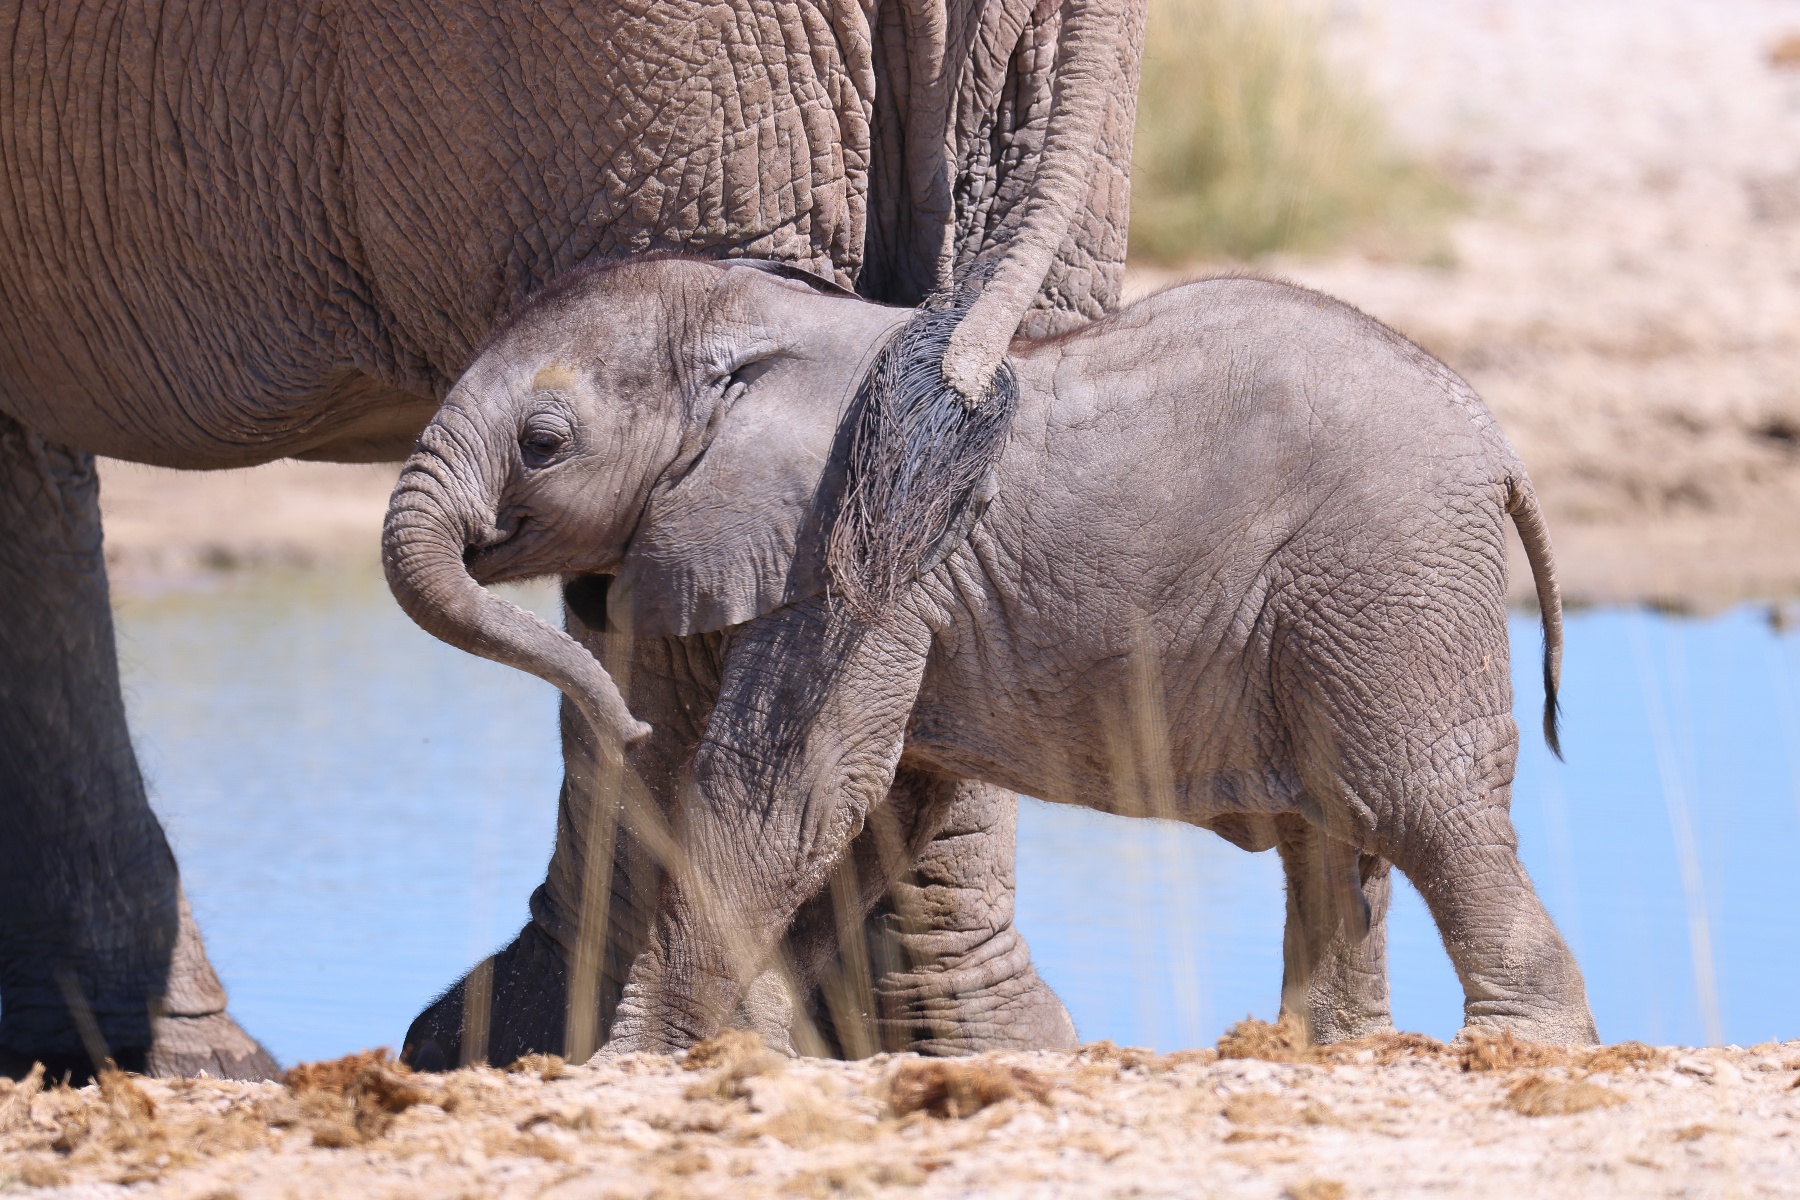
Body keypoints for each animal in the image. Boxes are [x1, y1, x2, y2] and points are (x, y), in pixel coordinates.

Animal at [381, 256, 1600, 1055]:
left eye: (544, 444)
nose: (625, 717)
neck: (770, 319)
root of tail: (1499, 448)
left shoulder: (853, 548)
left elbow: (790, 790)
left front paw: (639, 1060)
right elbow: (867, 812)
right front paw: (756, 1053)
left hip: (1385, 579)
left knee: (1421, 803)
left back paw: (1527, 1050)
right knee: (1336, 833)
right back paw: (1326, 1053)